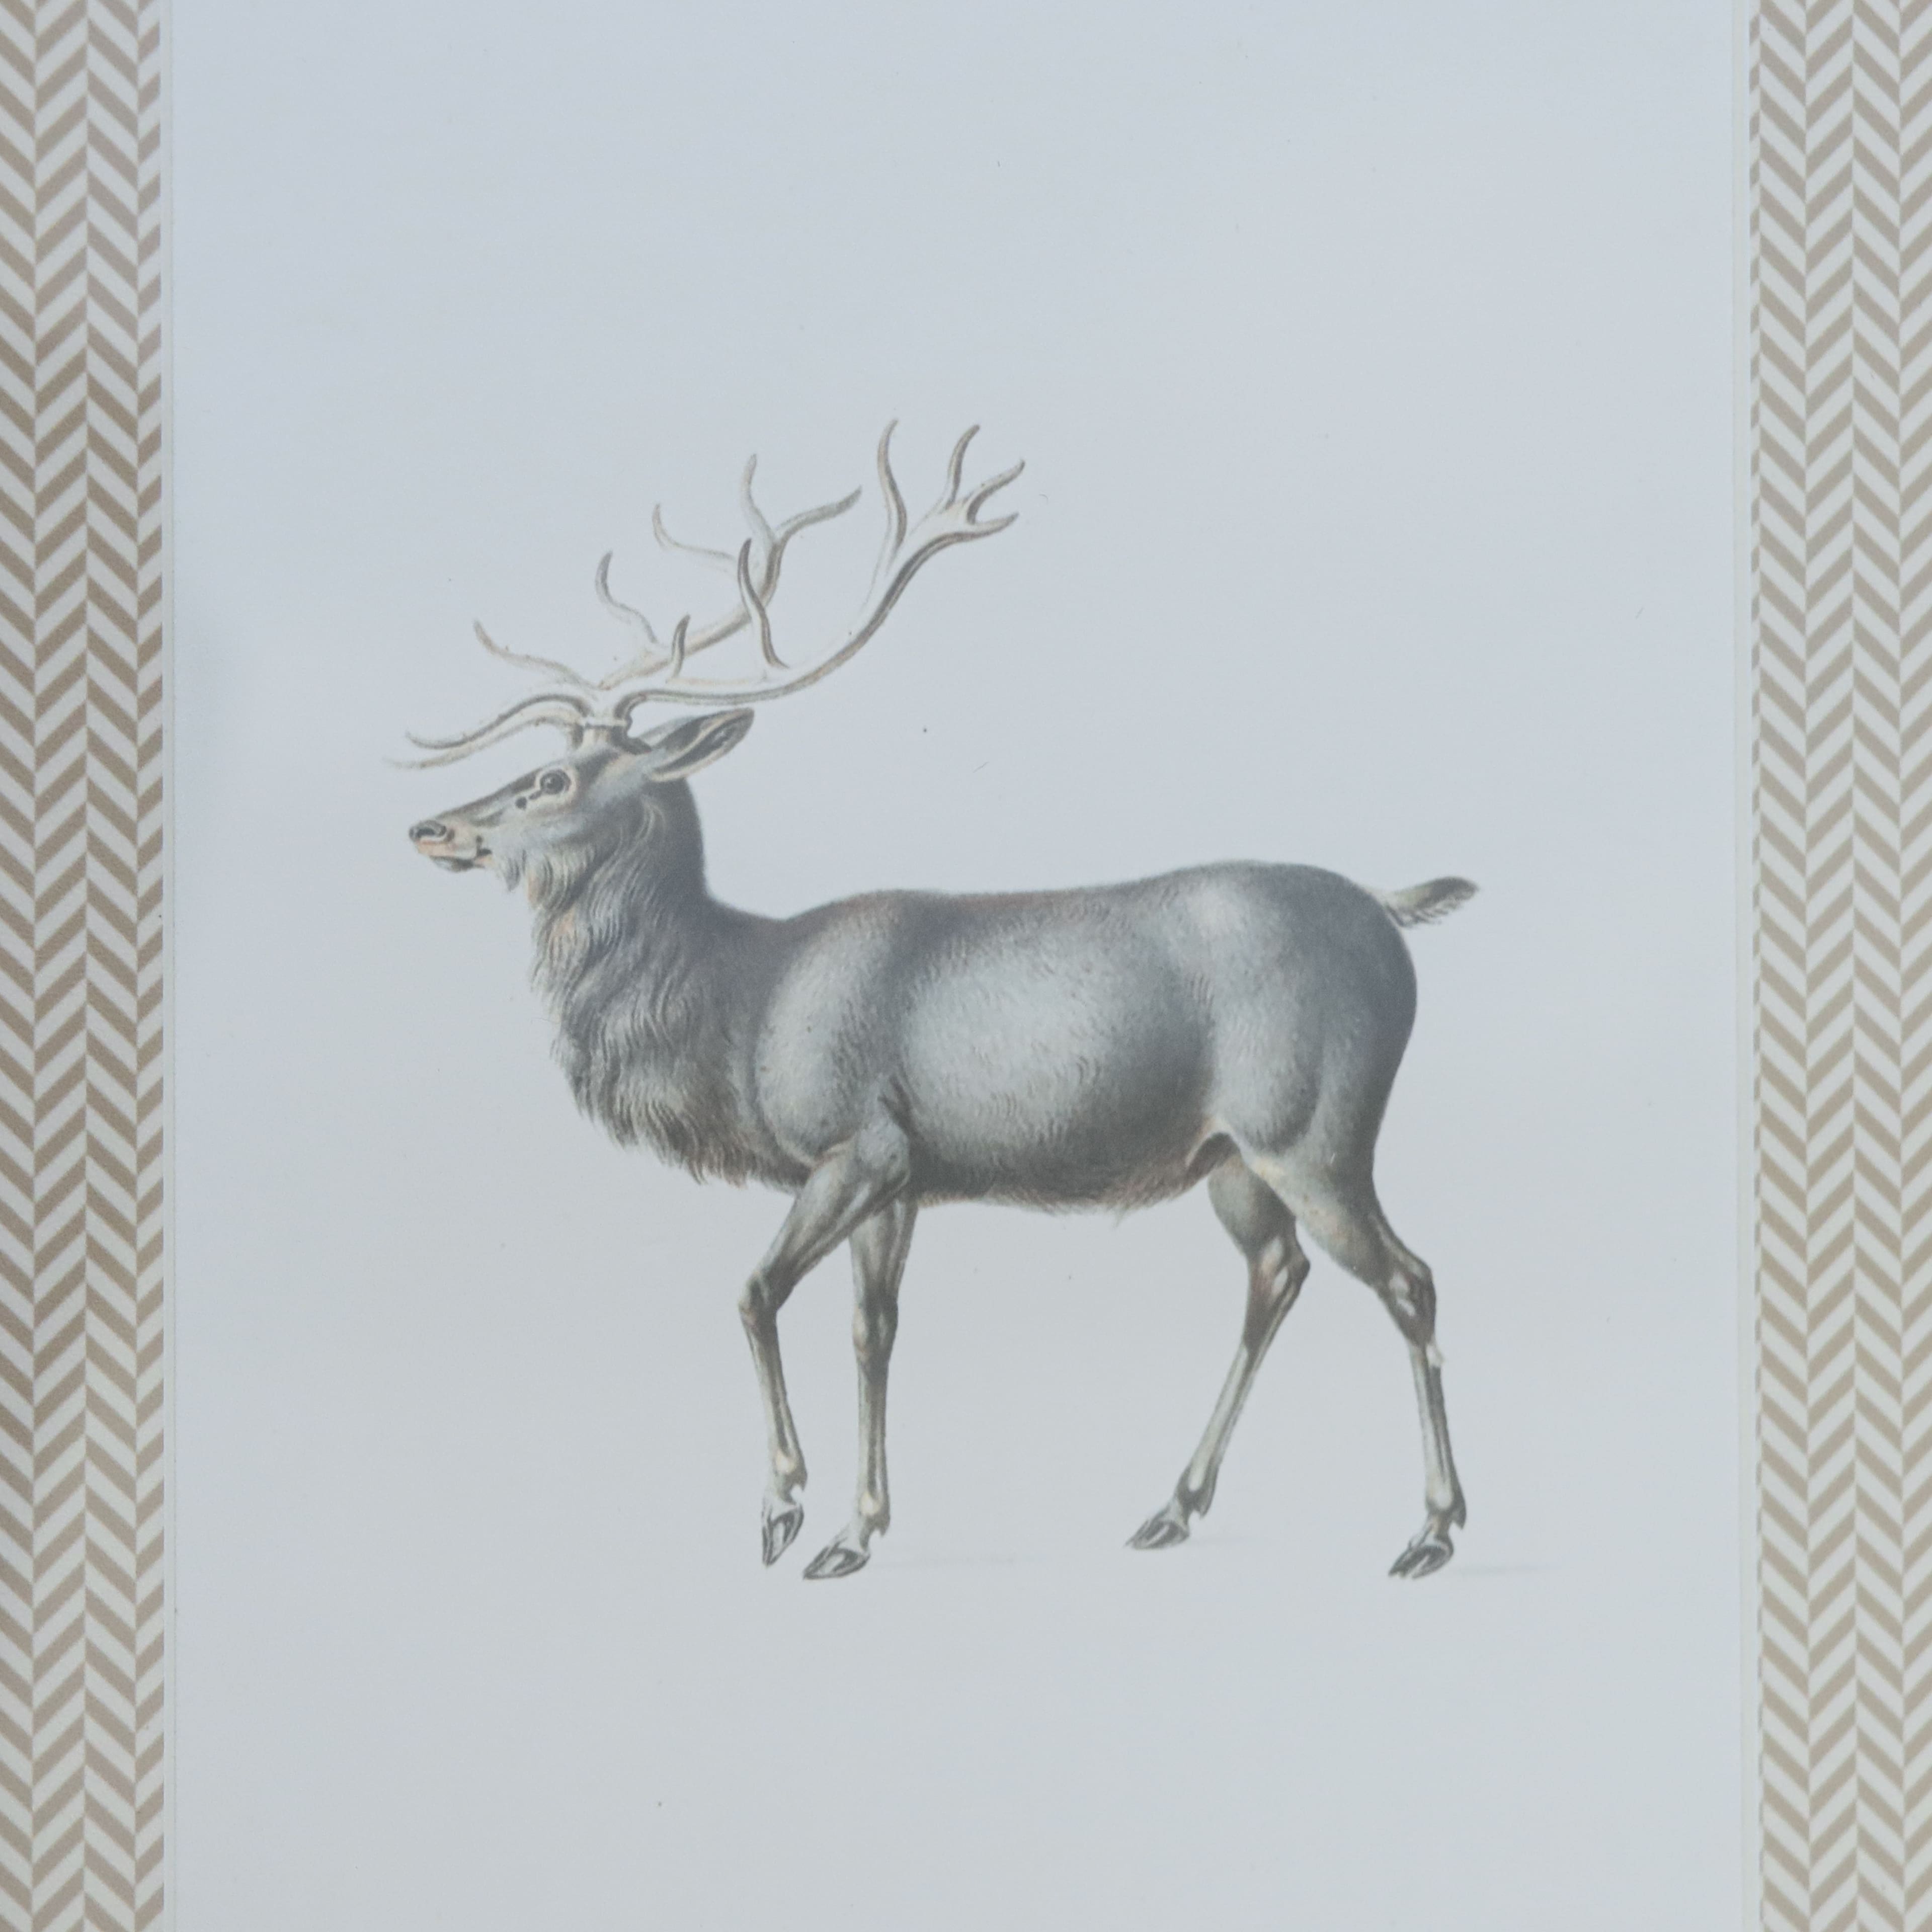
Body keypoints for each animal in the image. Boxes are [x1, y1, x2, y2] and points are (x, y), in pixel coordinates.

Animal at [404, 426, 1475, 1582]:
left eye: (552, 780)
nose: (431, 826)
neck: (734, 1014)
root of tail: (1392, 912)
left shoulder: (855, 1142)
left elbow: (755, 1293)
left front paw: (785, 1508)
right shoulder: (904, 1175)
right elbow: (874, 1330)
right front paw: (858, 1528)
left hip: (1313, 1131)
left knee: (1410, 1279)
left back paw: (1431, 1529)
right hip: (1233, 1158)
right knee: (1278, 1275)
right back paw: (1174, 1506)